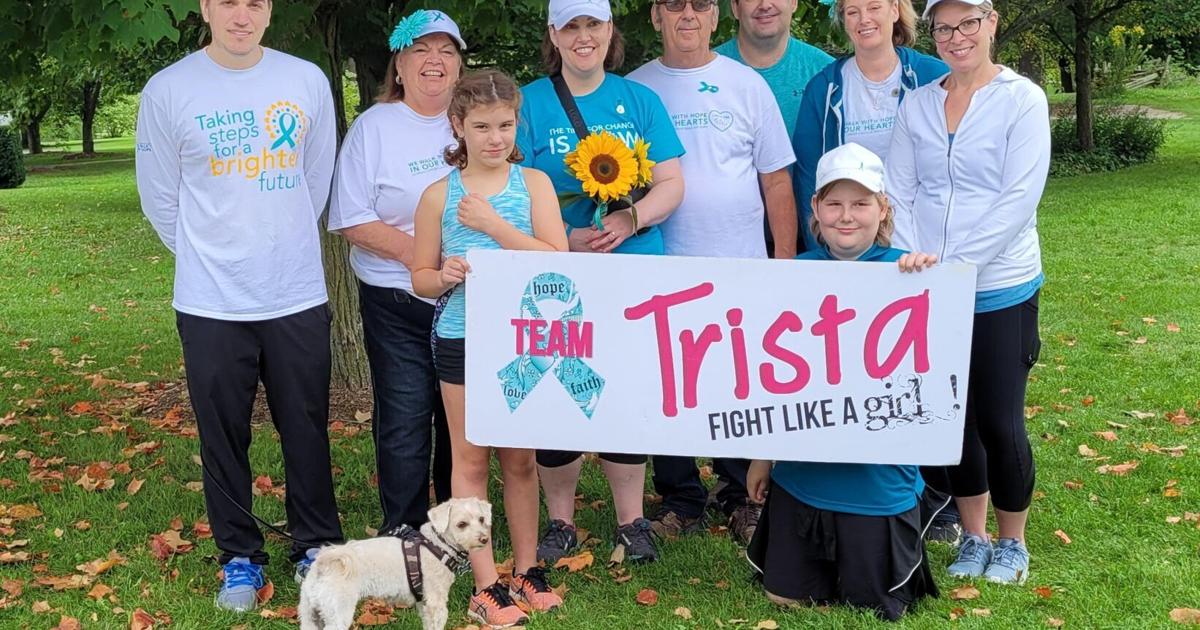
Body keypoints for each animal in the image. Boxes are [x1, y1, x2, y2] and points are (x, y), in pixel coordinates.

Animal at [300, 496, 492, 628]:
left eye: (482, 519)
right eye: (461, 524)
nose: (484, 539)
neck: (438, 544)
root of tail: (322, 563)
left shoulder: (424, 604)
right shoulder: (436, 603)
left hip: (310, 615)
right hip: (338, 611)